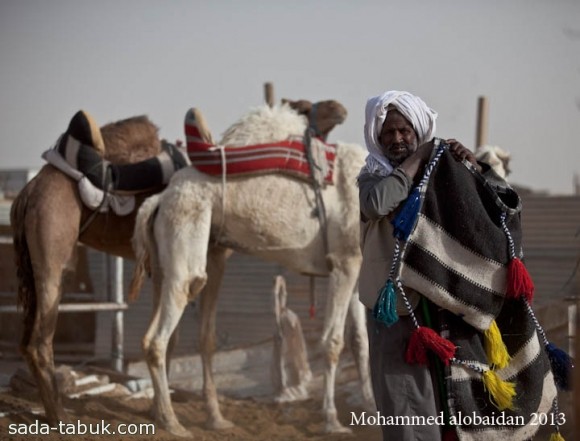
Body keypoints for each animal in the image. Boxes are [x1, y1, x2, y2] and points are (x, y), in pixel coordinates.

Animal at [131, 101, 374, 434]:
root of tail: (158, 198)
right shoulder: (344, 262)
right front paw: (332, 420)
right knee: (160, 331)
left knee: (186, 330)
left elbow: (361, 342)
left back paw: (194, 416)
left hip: (187, 254)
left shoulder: (356, 269)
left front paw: (372, 410)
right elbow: (333, 342)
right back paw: (172, 422)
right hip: (185, 230)